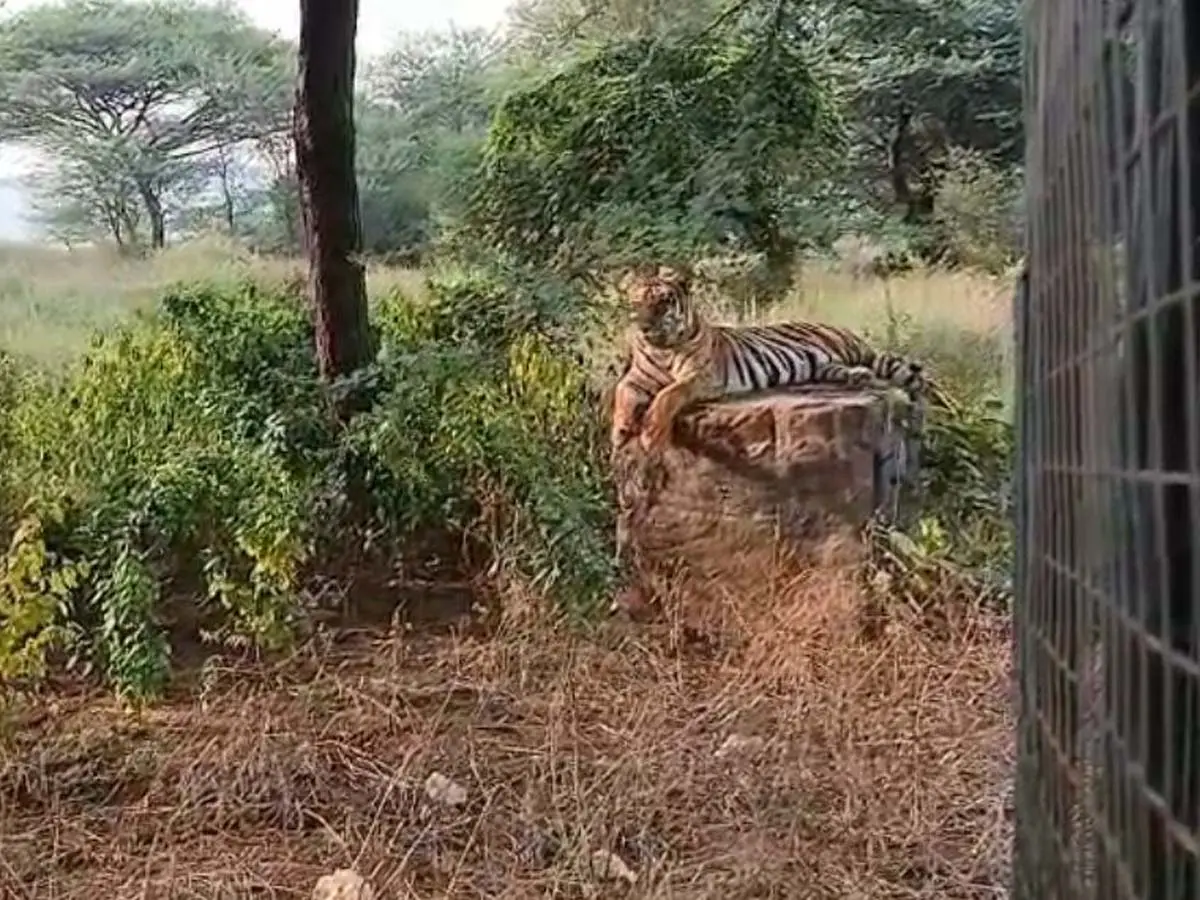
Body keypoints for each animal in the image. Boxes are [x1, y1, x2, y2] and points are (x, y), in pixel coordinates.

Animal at [609, 263, 955, 457]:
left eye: (663, 302)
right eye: (637, 302)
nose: (644, 325)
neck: (662, 348)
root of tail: (845, 331)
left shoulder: (700, 376)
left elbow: (668, 395)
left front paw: (650, 434)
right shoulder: (636, 378)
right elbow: (621, 393)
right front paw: (620, 430)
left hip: (857, 353)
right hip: (825, 365)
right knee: (844, 371)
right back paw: (859, 377)